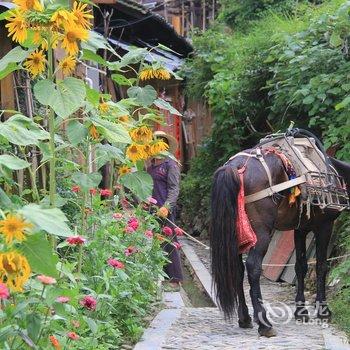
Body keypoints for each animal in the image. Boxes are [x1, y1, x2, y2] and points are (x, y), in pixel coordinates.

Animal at [209, 131, 348, 336]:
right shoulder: (325, 226)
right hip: (261, 233)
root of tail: (235, 168)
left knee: (238, 268)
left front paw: (301, 311)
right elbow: (321, 266)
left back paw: (245, 318)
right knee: (253, 267)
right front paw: (323, 311)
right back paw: (264, 324)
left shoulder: (300, 229)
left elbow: (300, 266)